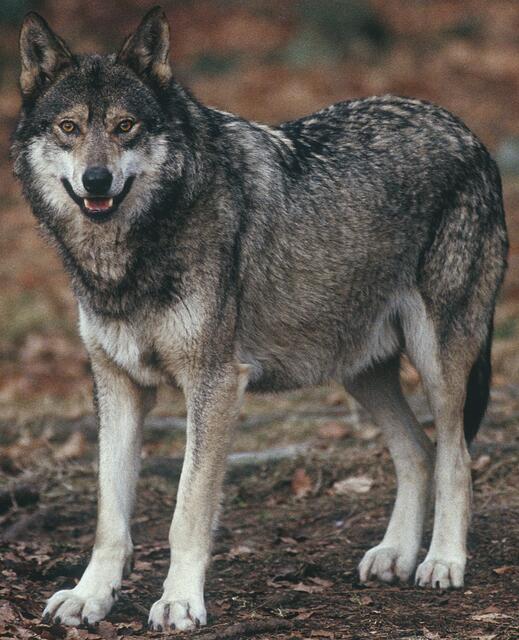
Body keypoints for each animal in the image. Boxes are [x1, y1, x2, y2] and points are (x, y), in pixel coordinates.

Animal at [13, 6, 508, 632]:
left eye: (125, 126)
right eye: (69, 128)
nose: (96, 180)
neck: (127, 258)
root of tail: (468, 133)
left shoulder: (216, 383)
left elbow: (187, 509)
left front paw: (179, 601)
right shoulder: (117, 385)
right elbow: (108, 516)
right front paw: (90, 596)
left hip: (438, 360)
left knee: (455, 457)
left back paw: (442, 561)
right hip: (360, 370)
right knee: (417, 451)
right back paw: (395, 554)